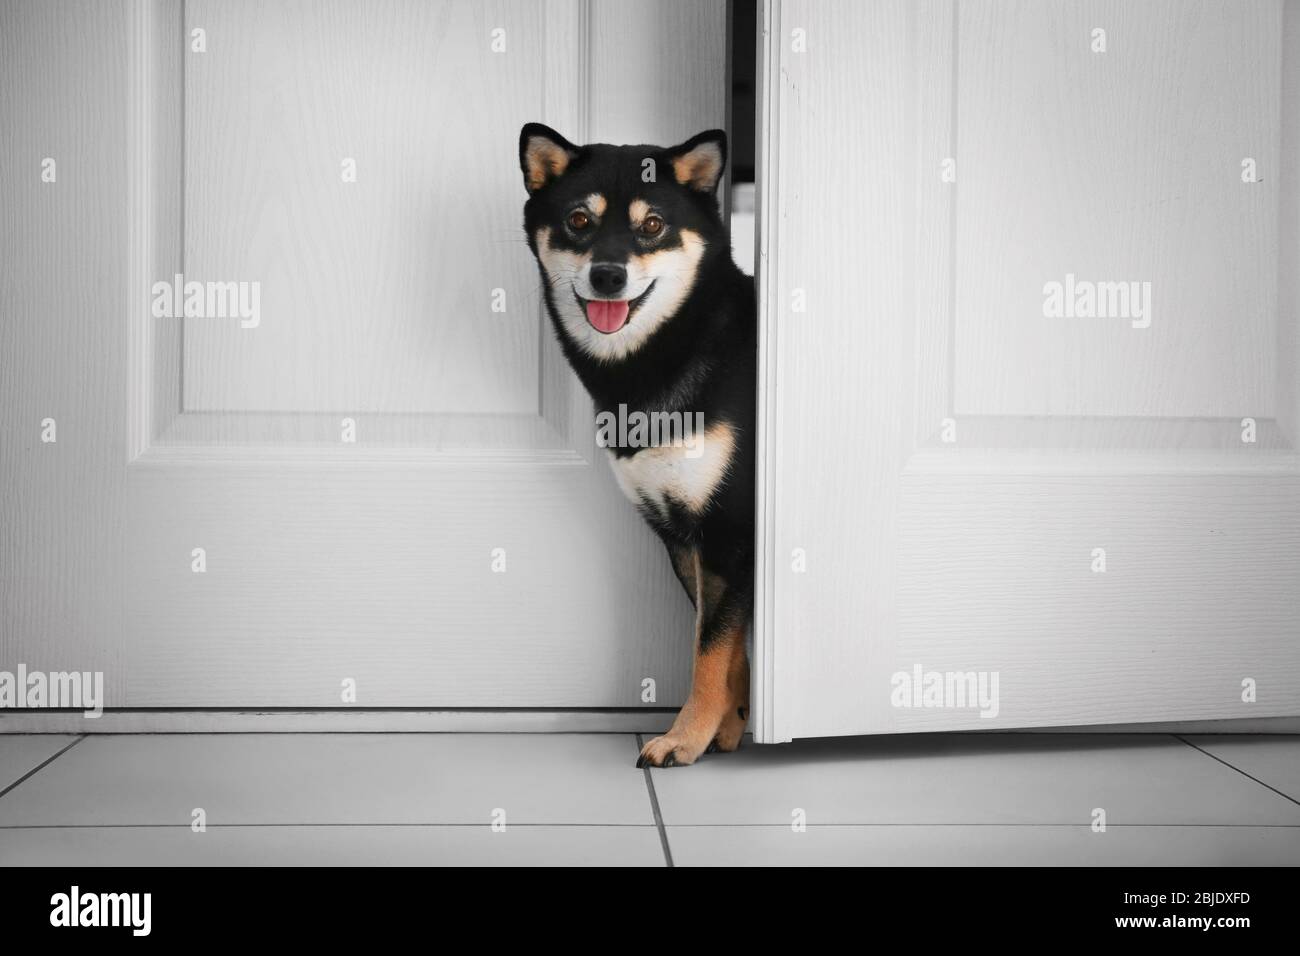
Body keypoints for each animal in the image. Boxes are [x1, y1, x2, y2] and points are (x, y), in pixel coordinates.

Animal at [514, 125, 754, 770]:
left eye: (652, 225)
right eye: (578, 220)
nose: (608, 276)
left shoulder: (726, 527)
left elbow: (708, 652)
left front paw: (685, 738)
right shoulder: (681, 534)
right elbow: (730, 647)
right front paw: (731, 723)